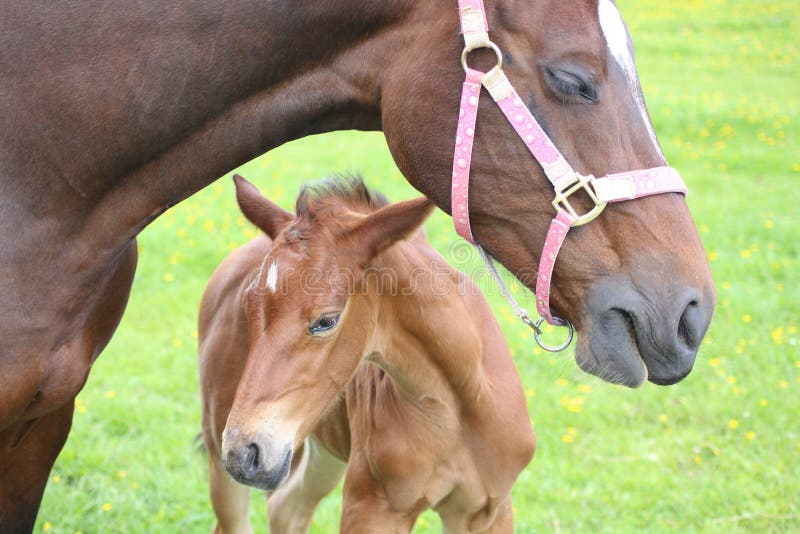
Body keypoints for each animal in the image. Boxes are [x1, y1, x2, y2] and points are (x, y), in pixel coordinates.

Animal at [200, 174, 536, 532]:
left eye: (325, 321)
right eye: (248, 305)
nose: (243, 452)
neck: (459, 404)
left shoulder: (486, 511)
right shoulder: (372, 508)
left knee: (286, 507)